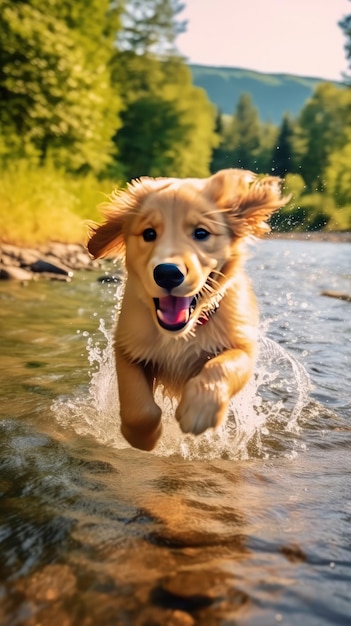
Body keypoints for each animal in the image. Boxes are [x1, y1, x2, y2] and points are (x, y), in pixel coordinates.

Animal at [88, 167, 288, 448]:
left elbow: (222, 367)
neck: (180, 334)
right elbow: (139, 408)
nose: (168, 273)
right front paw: (143, 438)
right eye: (149, 233)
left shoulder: (242, 346)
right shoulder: (127, 346)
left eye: (201, 233)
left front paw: (199, 409)